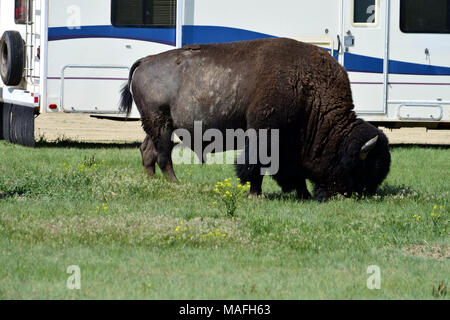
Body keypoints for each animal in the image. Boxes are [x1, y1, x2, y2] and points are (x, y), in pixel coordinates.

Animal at [119, 37, 390, 201]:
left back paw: (154, 183)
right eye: (363, 167)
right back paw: (176, 184)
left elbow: (294, 171)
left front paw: (303, 194)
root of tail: (145, 61)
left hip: (156, 126)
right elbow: (255, 165)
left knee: (148, 151)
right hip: (162, 125)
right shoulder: (264, 134)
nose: (363, 194)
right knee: (163, 155)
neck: (308, 88)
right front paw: (255, 194)